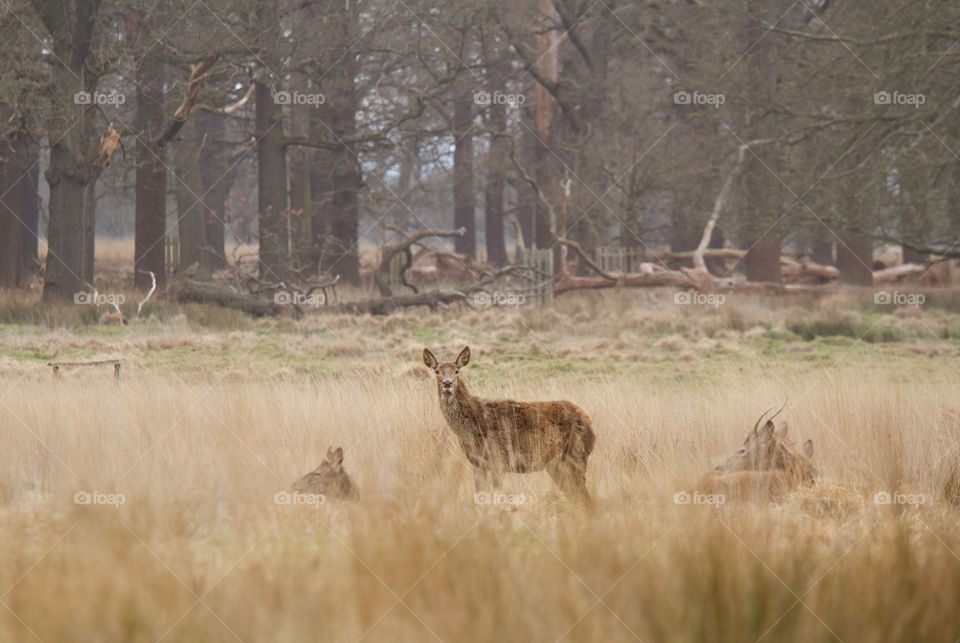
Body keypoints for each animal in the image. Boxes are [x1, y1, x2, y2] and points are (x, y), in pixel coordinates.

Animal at [424, 348, 596, 508]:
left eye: (457, 371)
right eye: (437, 371)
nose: (447, 383)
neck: (472, 429)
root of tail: (590, 425)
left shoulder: (498, 460)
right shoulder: (477, 463)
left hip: (575, 455)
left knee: (586, 498)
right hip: (557, 464)